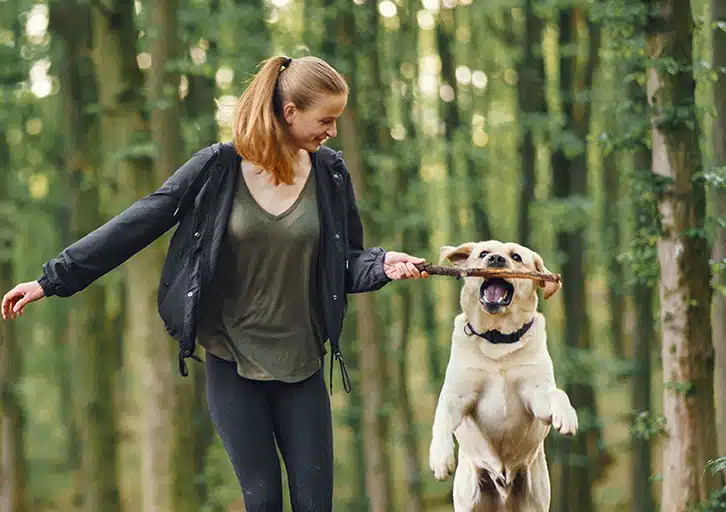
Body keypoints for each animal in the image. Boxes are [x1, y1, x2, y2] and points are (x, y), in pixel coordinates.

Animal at [426, 241, 580, 512]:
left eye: (516, 257)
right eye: (483, 253)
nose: (496, 260)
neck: (497, 340)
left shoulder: (535, 396)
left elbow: (557, 393)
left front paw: (567, 416)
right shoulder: (458, 395)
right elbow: (442, 417)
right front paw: (440, 458)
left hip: (535, 500)